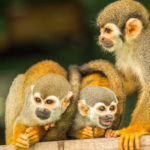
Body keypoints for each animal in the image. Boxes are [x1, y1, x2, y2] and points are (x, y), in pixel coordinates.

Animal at [96, 0, 150, 149]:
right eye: (101, 30)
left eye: (107, 30)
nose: (101, 37)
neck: (134, 43)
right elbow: (130, 82)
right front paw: (101, 84)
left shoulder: (145, 51)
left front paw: (133, 129)